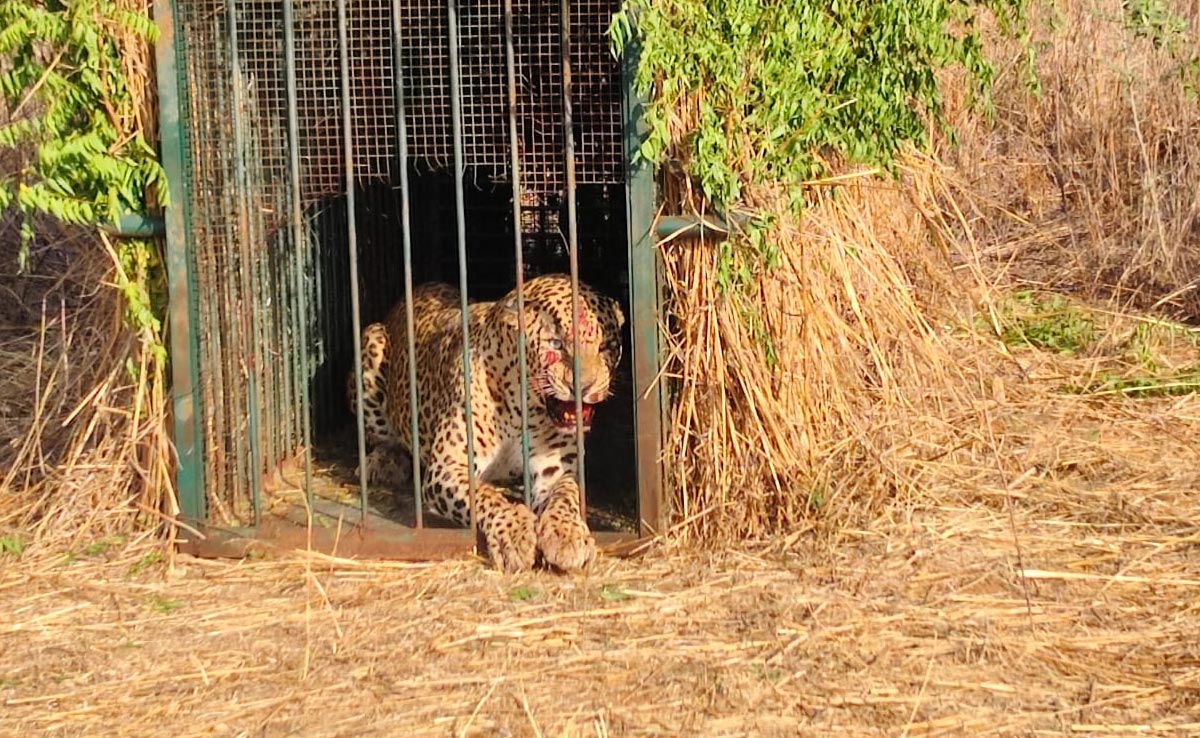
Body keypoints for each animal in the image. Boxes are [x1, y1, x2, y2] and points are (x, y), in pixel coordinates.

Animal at [347, 273, 625, 573]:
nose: (583, 387)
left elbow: (566, 496)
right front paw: (514, 535)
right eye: (555, 344)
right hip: (371, 340)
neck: (524, 409)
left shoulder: (556, 471)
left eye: (605, 347)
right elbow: (484, 497)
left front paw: (567, 534)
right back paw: (383, 463)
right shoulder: (448, 466)